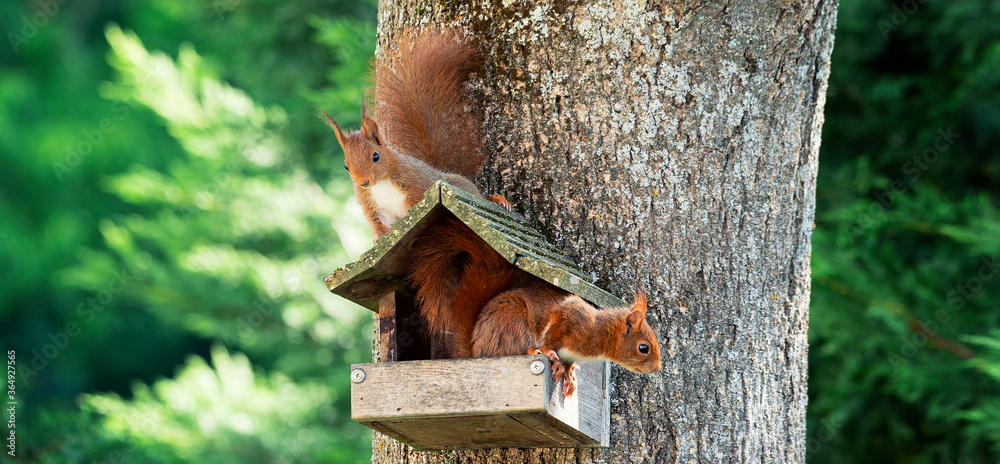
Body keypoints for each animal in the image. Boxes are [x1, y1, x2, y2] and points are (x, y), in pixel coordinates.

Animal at [322, 29, 508, 239]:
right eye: (346, 166)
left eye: (376, 156)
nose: (364, 182)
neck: (382, 183)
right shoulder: (372, 204)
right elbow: (380, 224)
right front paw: (378, 240)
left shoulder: (415, 182)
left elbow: (418, 201)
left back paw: (498, 200)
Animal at [470, 278, 660, 396]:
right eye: (644, 348)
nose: (657, 369)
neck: (599, 332)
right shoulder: (570, 316)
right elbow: (550, 336)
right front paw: (551, 355)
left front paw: (568, 376)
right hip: (511, 322)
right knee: (517, 348)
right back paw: (537, 351)